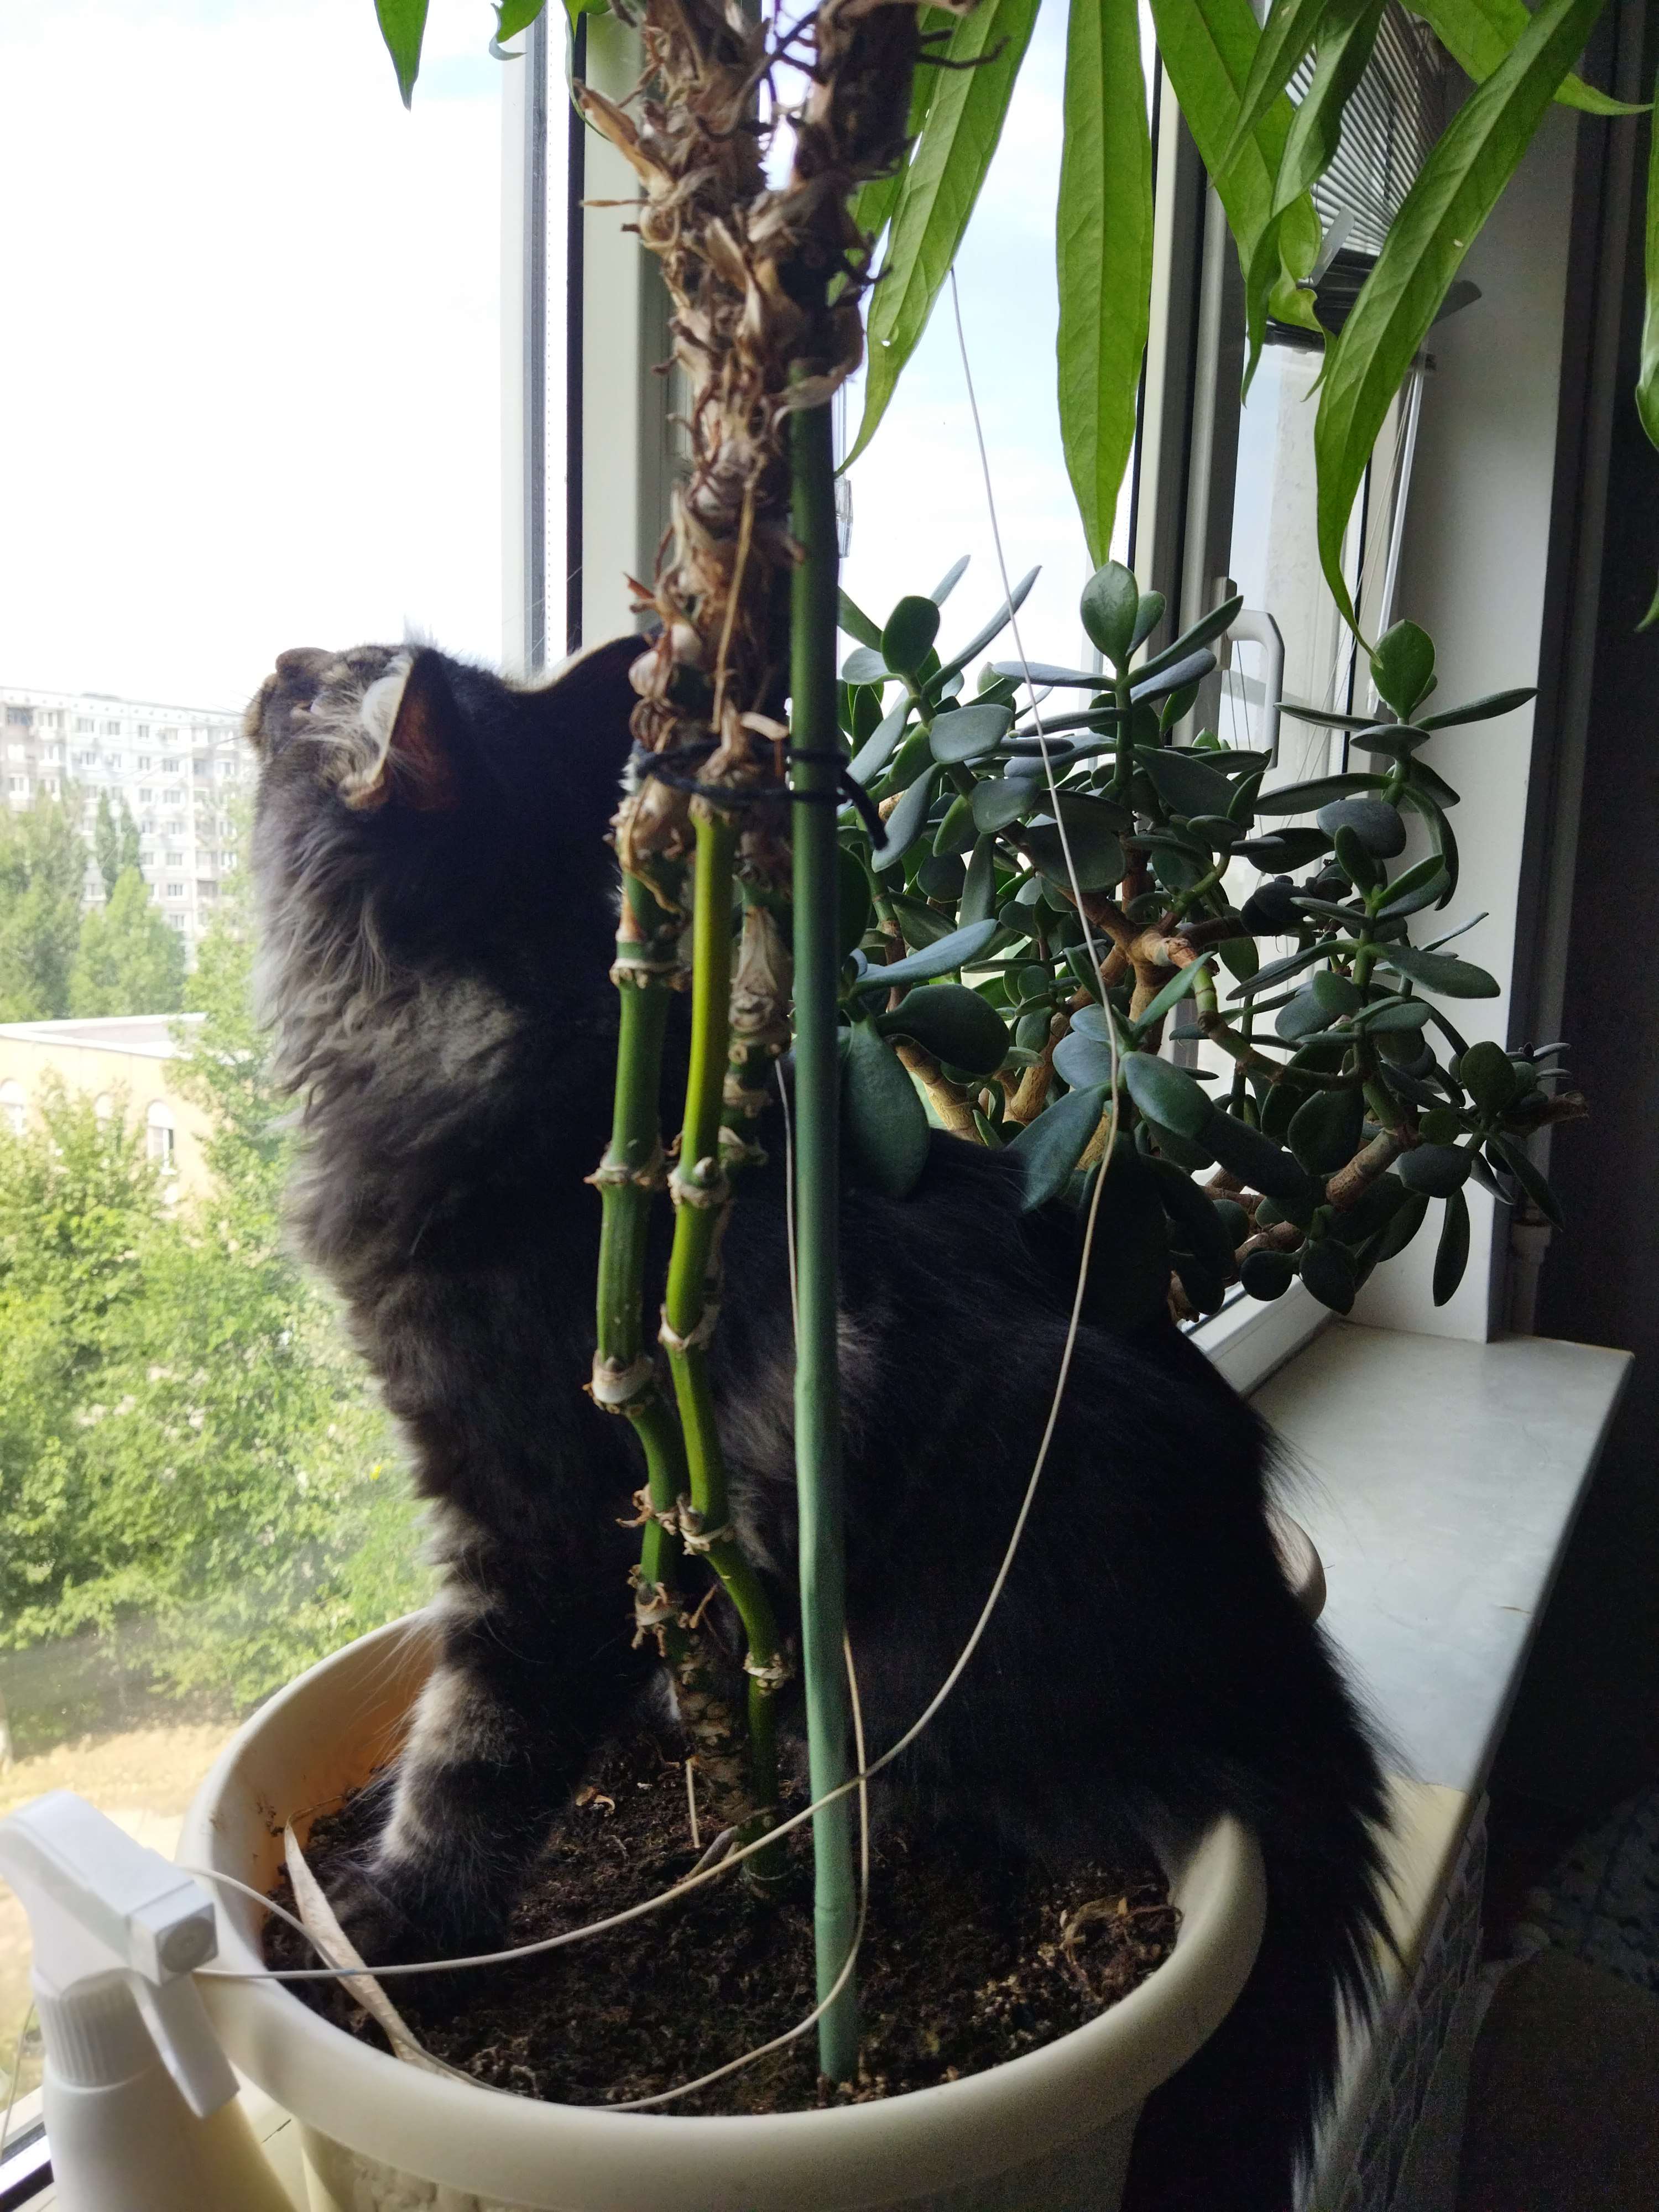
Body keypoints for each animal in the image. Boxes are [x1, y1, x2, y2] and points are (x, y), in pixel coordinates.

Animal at [242, 634, 1392, 2210]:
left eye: (328, 675)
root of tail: (1269, 1639)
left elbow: (475, 1755)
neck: (510, 1034)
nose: (272, 664)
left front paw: (386, 1927)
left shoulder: (533, 1522)